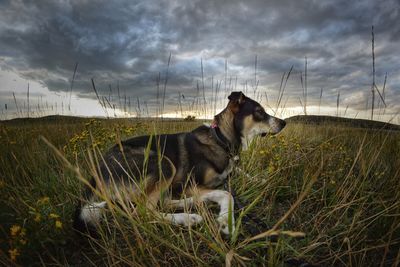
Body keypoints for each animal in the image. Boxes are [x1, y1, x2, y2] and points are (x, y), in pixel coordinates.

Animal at [73, 91, 286, 237]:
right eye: (259, 112)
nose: (284, 123)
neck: (221, 139)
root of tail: (94, 175)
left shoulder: (227, 170)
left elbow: (239, 172)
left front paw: (261, 179)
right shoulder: (188, 183)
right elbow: (227, 194)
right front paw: (227, 221)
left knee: (163, 201)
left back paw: (194, 204)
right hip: (163, 163)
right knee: (144, 211)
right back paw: (189, 217)